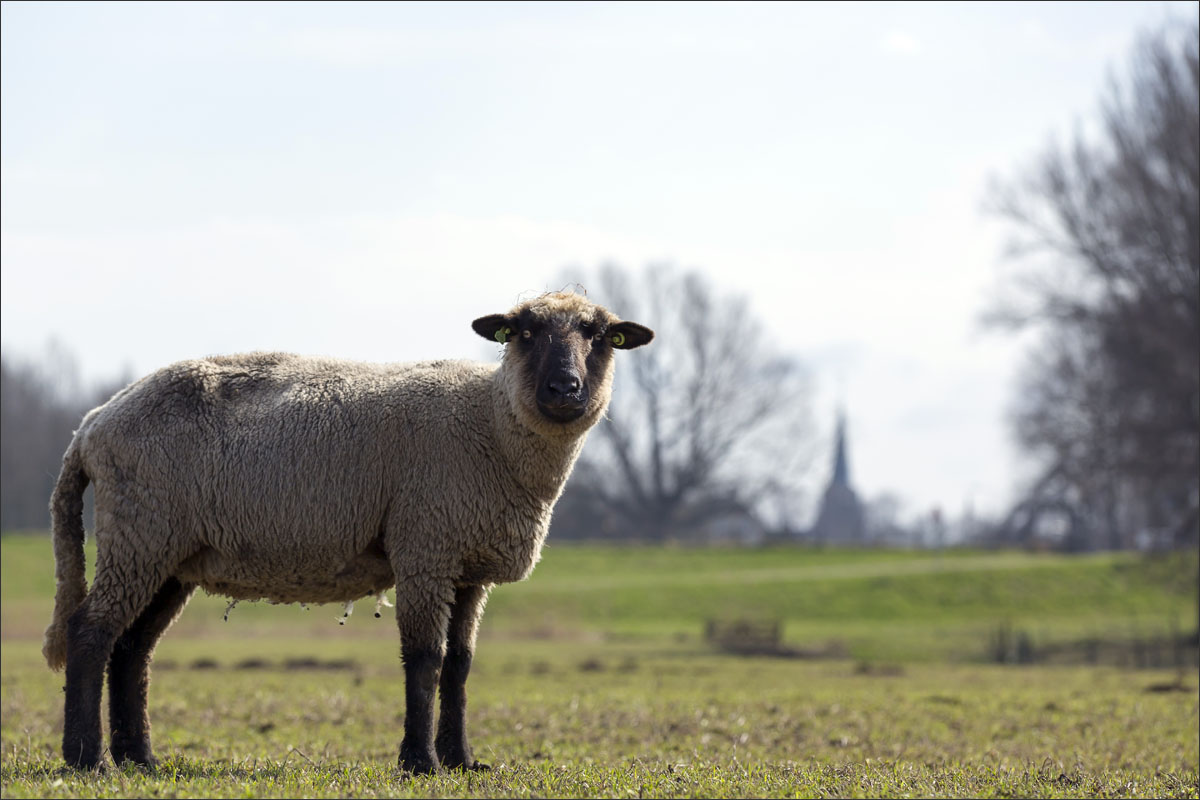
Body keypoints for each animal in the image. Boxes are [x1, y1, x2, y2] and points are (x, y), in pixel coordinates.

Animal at [42, 292, 657, 777]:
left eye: (598, 335)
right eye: (525, 332)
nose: (564, 387)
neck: (492, 422)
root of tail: (90, 425)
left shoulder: (468, 567)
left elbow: (460, 665)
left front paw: (462, 760)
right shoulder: (426, 548)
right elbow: (425, 658)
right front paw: (420, 762)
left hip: (169, 553)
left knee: (133, 648)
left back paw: (139, 758)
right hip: (139, 531)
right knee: (91, 632)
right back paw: (88, 760)